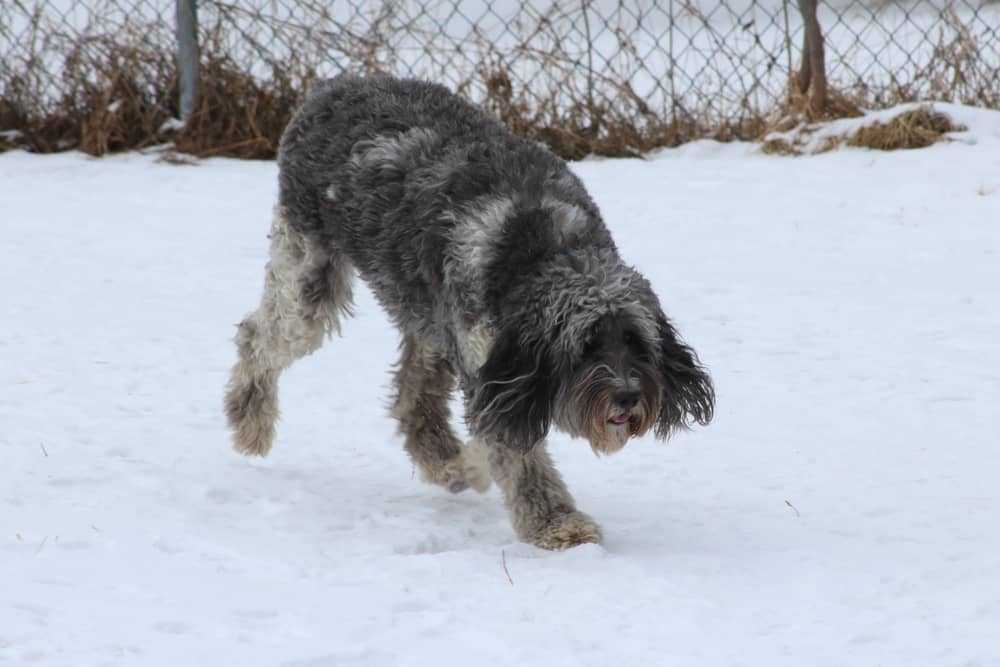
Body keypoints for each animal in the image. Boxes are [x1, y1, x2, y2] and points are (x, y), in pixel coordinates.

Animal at [224, 74, 716, 552]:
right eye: (584, 346)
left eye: (634, 340)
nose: (628, 396)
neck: (543, 250)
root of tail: (329, 87)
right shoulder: (493, 374)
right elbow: (521, 461)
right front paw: (557, 525)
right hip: (310, 278)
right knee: (257, 337)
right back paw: (249, 422)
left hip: (427, 317)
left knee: (412, 397)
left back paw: (449, 465)